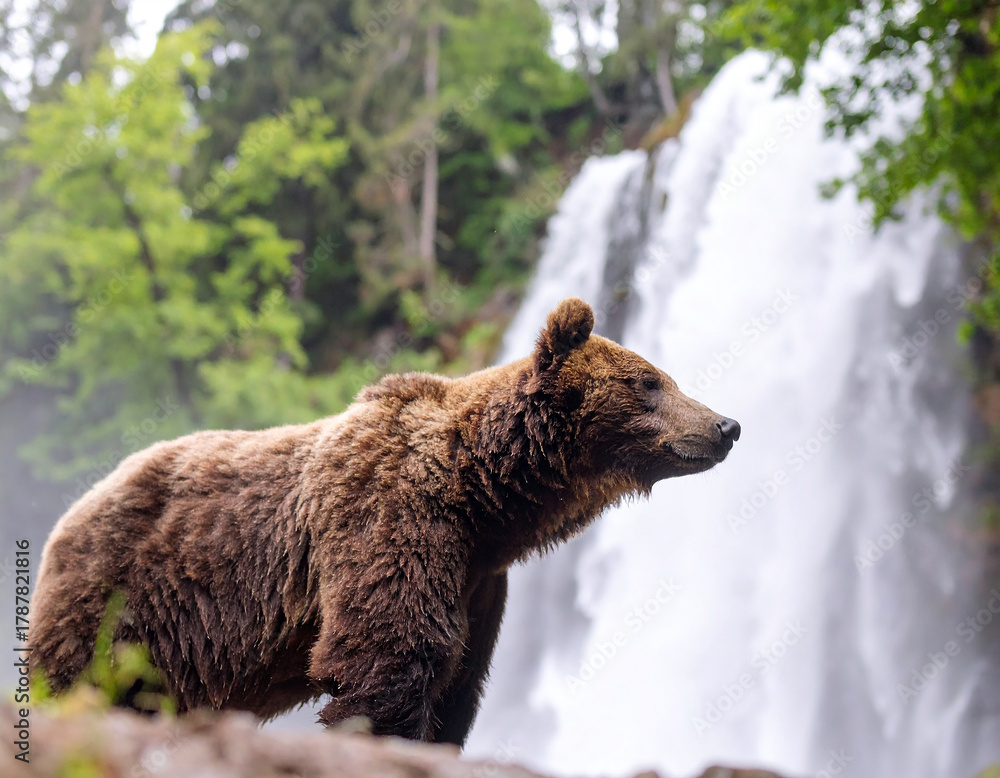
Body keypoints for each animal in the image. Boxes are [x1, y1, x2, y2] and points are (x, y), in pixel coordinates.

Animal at [29, 297, 740, 745]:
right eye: (649, 382)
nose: (725, 425)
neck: (485, 496)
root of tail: (77, 506)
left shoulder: (478, 582)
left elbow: (457, 684)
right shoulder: (389, 517)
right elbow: (388, 657)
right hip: (124, 600)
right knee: (71, 677)